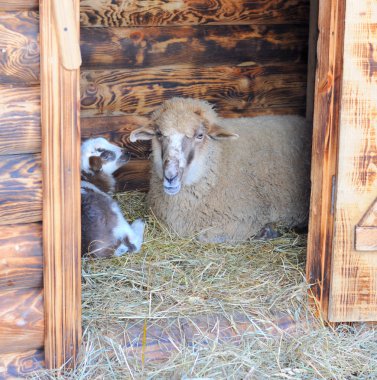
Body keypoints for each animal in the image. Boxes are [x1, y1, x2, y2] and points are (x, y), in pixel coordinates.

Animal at [130, 96, 312, 242]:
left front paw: (267, 231)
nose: (170, 176)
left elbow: (205, 236)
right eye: (159, 134)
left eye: (200, 135)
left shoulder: (240, 221)